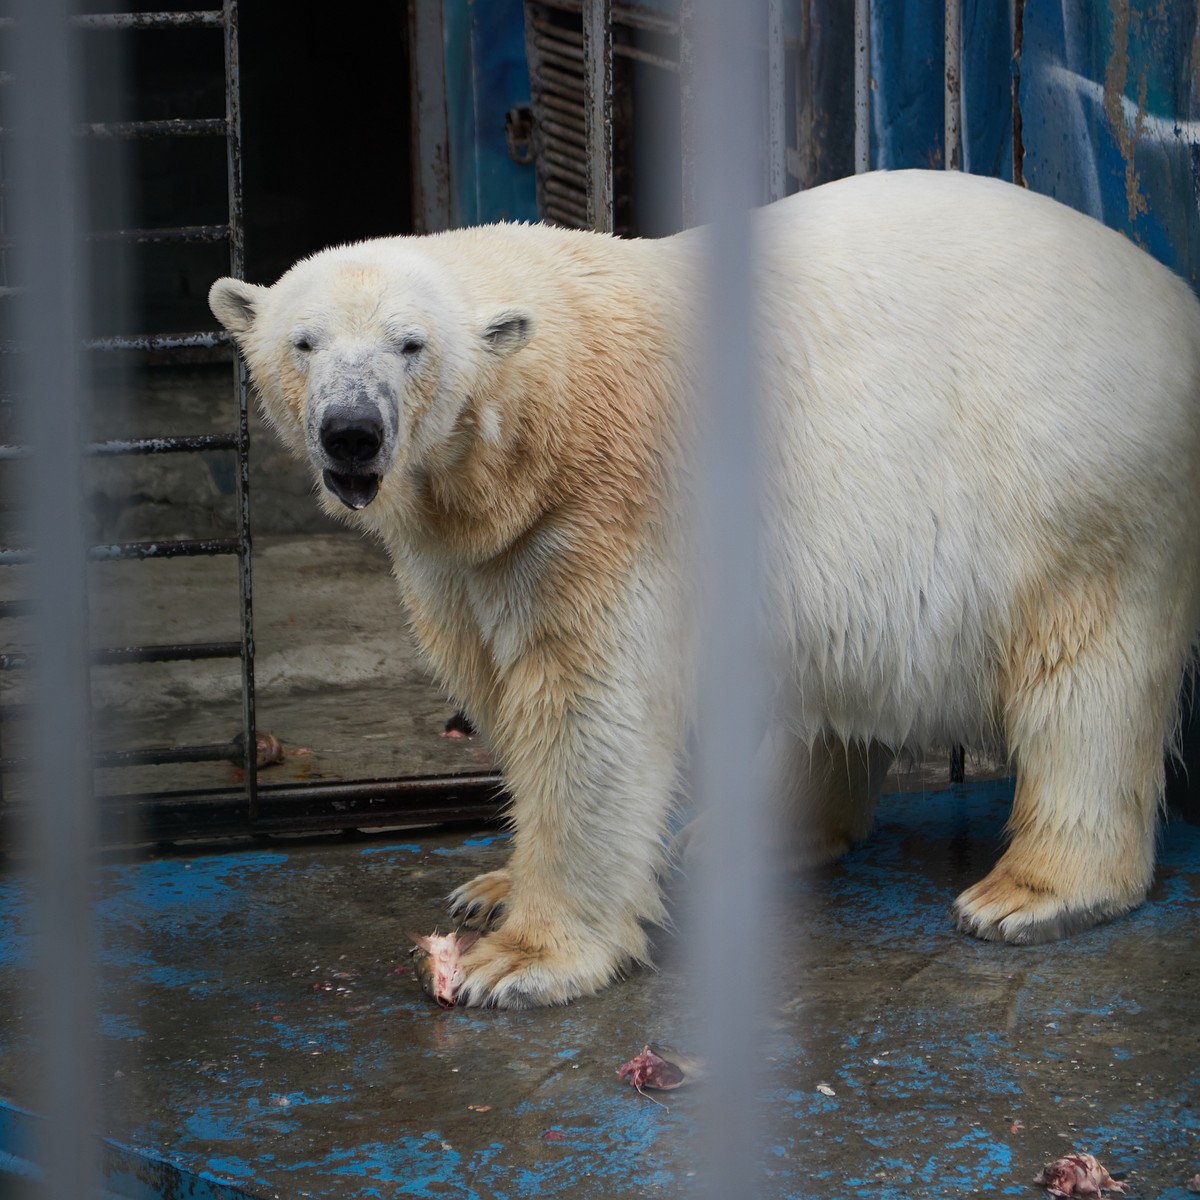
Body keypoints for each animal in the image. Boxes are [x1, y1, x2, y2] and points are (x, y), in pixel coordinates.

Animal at [211, 169, 1200, 1008]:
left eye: (410, 345)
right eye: (303, 342)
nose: (351, 432)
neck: (551, 408)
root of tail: (1176, 299)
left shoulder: (611, 510)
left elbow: (587, 714)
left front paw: (520, 958)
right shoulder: (467, 557)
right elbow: (497, 686)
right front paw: (491, 886)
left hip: (1076, 479)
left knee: (1085, 678)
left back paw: (1031, 891)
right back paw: (740, 834)